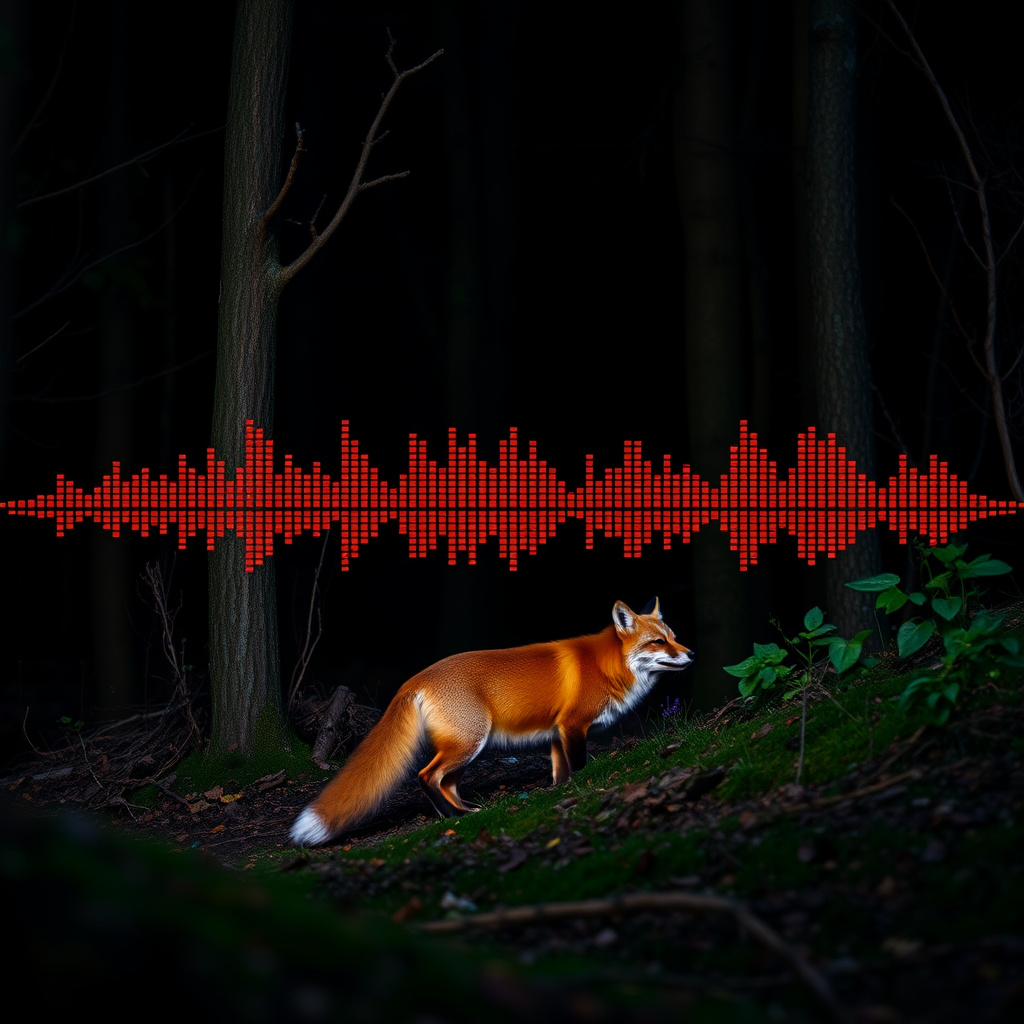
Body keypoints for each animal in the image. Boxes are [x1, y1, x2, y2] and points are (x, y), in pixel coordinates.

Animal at [289, 598, 693, 846]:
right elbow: (579, 766)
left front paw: (560, 793)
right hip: (470, 742)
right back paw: (451, 817)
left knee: (446, 782)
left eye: (674, 638)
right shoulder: (573, 727)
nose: (691, 654)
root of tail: (413, 680)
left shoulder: (556, 733)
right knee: (426, 776)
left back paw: (465, 811)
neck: (605, 666)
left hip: (466, 748)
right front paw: (583, 785)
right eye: (658, 642)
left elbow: (560, 774)